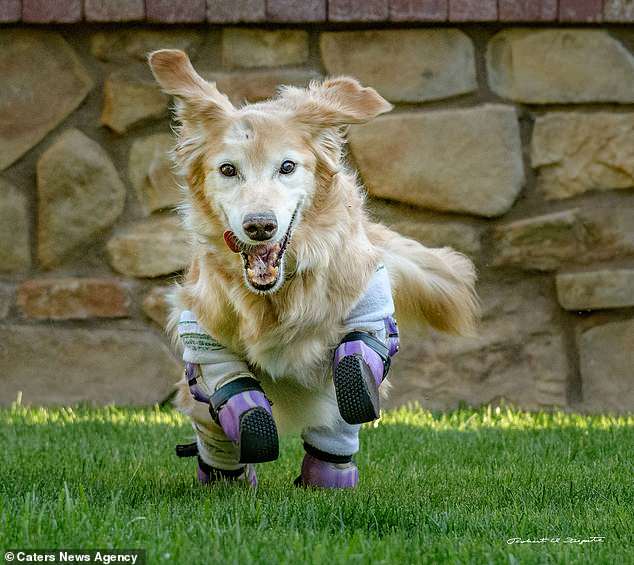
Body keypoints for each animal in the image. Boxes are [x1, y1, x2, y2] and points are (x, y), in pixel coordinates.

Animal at [147, 50, 474, 486]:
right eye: (228, 170)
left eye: (287, 167)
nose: (260, 225)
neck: (277, 294)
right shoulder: (201, 330)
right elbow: (225, 383)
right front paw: (252, 421)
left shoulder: (367, 299)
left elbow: (361, 350)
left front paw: (356, 371)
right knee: (215, 435)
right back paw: (225, 477)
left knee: (337, 420)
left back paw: (327, 476)